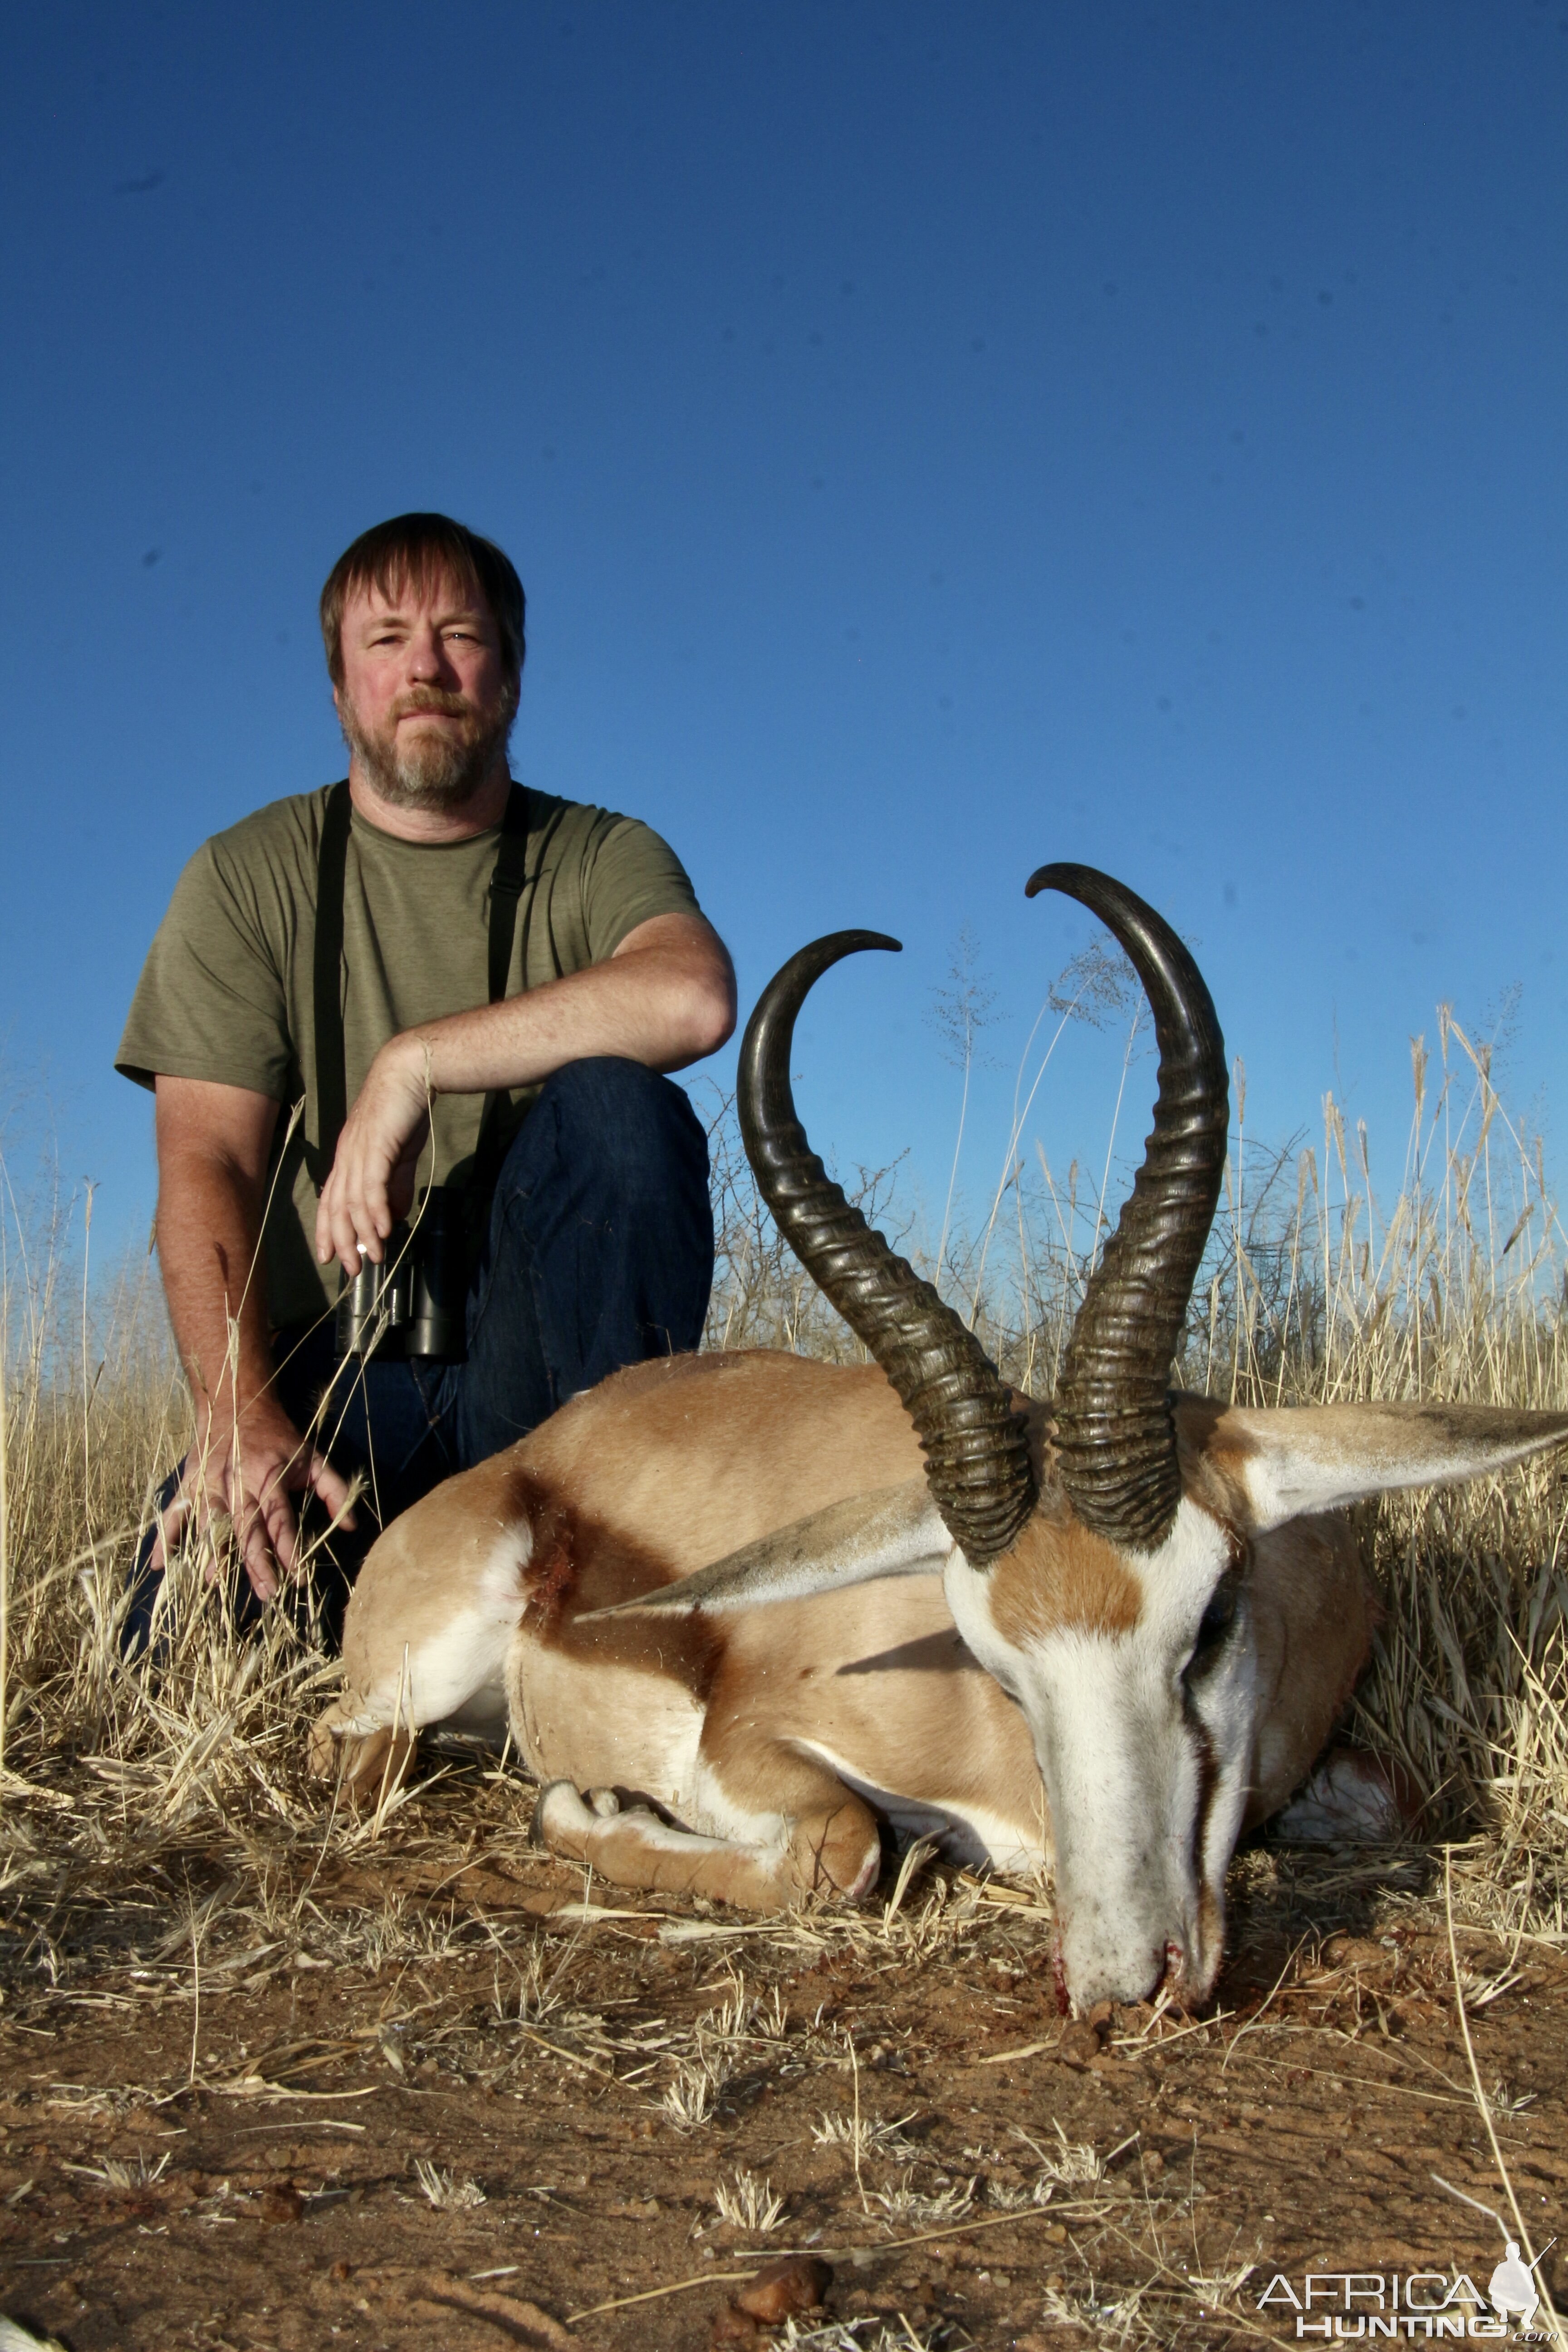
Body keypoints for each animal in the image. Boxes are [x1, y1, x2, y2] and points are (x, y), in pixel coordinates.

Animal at [310, 865, 1568, 2004]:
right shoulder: (752, 1740)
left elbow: (1389, 1795)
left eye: (1212, 1621)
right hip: (416, 1678)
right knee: (358, 1757)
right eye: (994, 1665)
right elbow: (842, 1852)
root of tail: (525, 1457)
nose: (1120, 1979)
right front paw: (591, 1802)